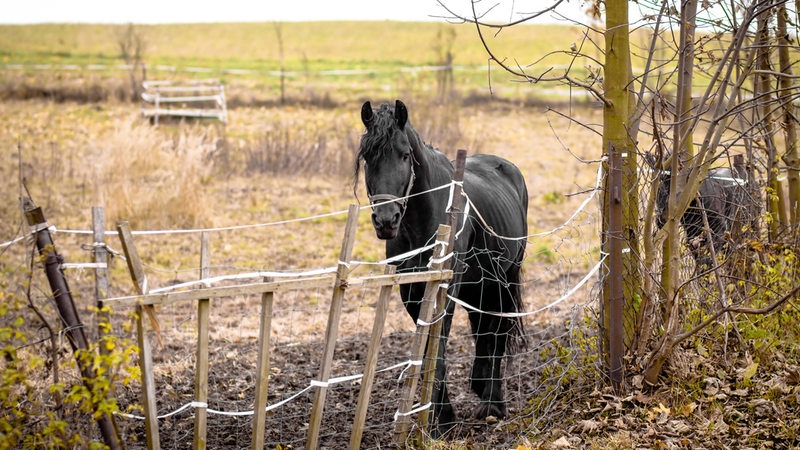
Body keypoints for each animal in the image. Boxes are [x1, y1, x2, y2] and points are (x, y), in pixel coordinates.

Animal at [356, 100, 532, 434]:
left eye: (405, 155)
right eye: (367, 157)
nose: (386, 220)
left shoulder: (443, 290)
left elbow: (437, 349)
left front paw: (443, 420)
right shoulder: (411, 292)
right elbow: (427, 350)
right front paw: (436, 414)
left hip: (503, 278)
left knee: (498, 331)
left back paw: (493, 402)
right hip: (480, 283)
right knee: (483, 327)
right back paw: (480, 384)